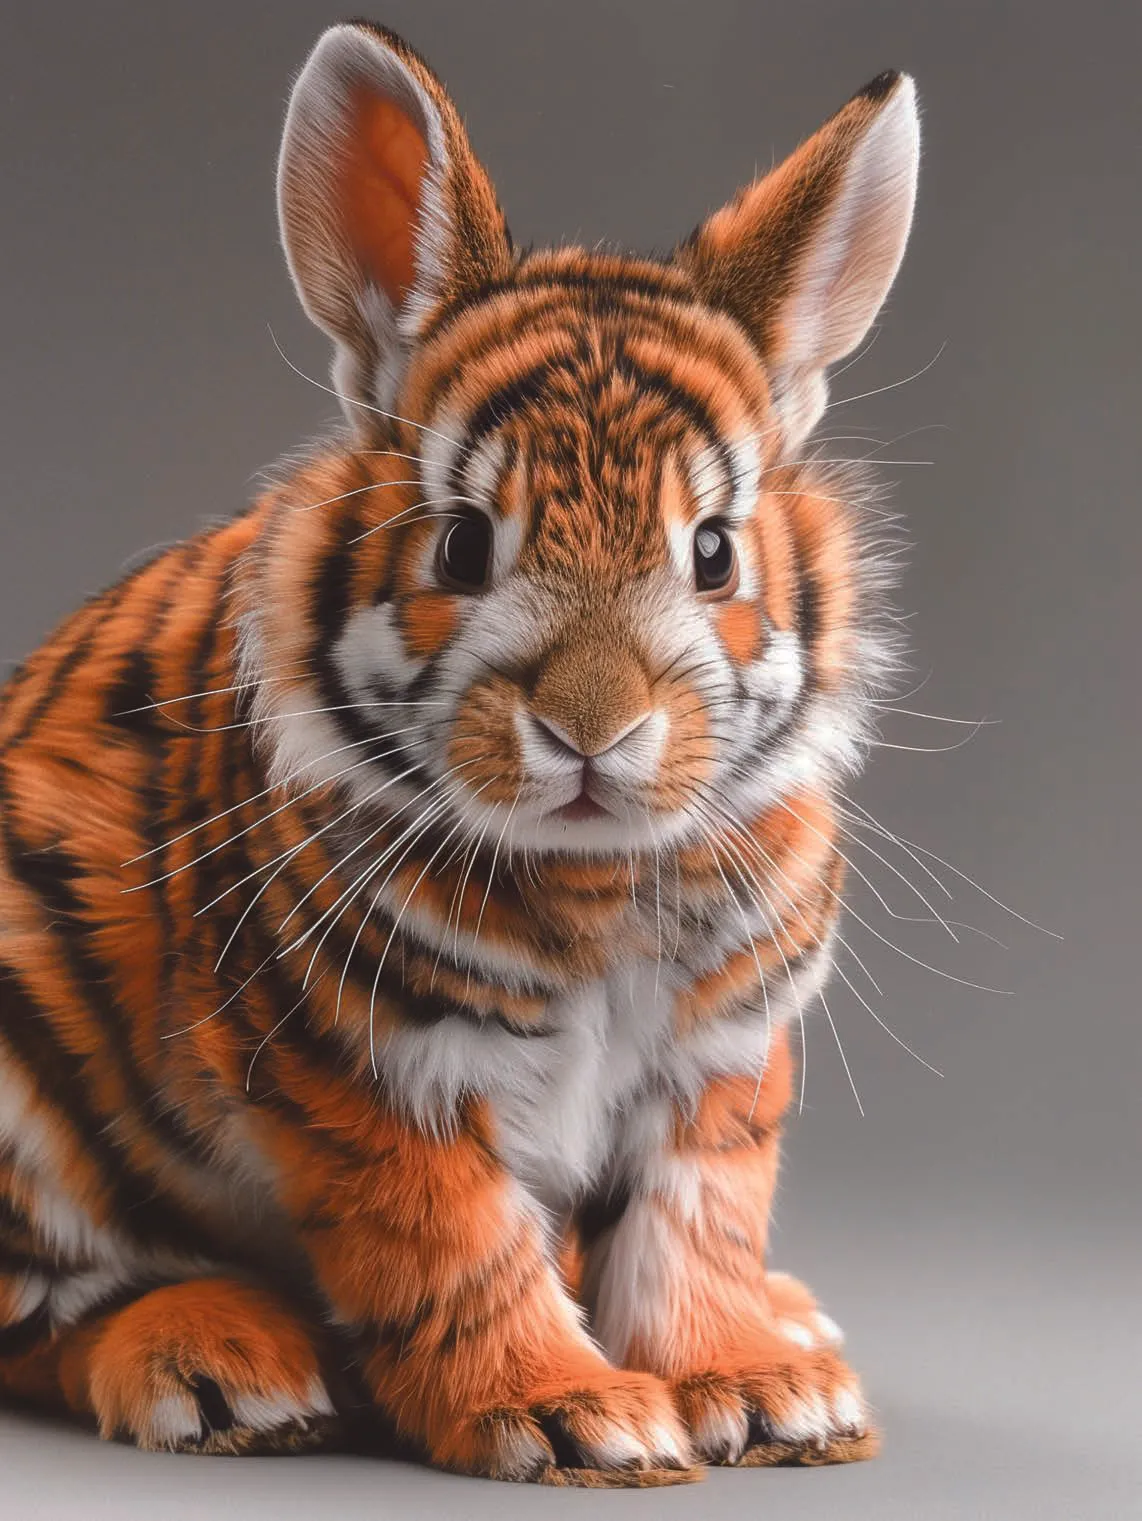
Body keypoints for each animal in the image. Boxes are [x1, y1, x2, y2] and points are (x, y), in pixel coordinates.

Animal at [0, 19, 920, 1486]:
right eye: (463, 546)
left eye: (714, 551)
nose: (592, 728)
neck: (597, 872)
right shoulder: (376, 1070)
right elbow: (452, 1250)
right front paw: (573, 1417)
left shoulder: (718, 1063)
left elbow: (693, 1226)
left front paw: (758, 1393)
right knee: (52, 1300)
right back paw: (222, 1368)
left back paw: (796, 1323)